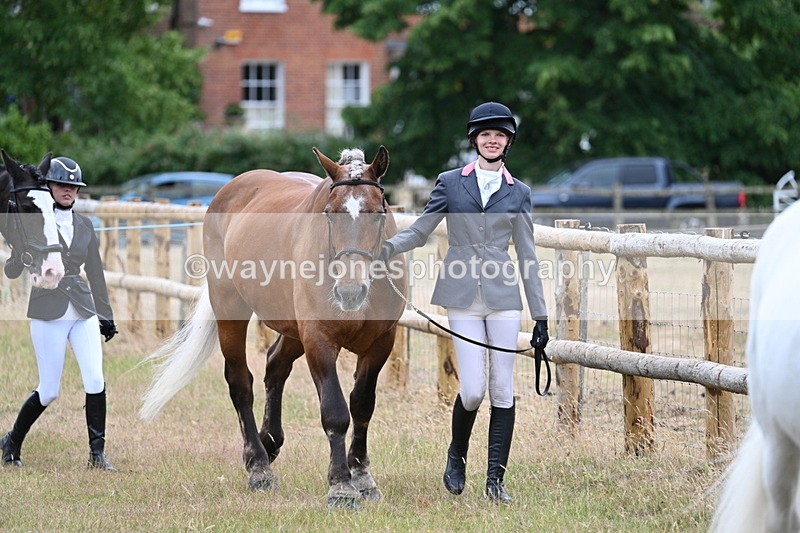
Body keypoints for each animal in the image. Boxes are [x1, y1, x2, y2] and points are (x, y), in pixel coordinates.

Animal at [140, 146, 407, 507]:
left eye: (378, 213)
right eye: (329, 214)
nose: (350, 291)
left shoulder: (380, 343)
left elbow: (362, 406)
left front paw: (363, 478)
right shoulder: (319, 340)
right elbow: (335, 411)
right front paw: (341, 485)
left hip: (291, 328)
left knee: (275, 366)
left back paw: (269, 441)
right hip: (231, 311)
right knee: (240, 383)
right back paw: (258, 465)